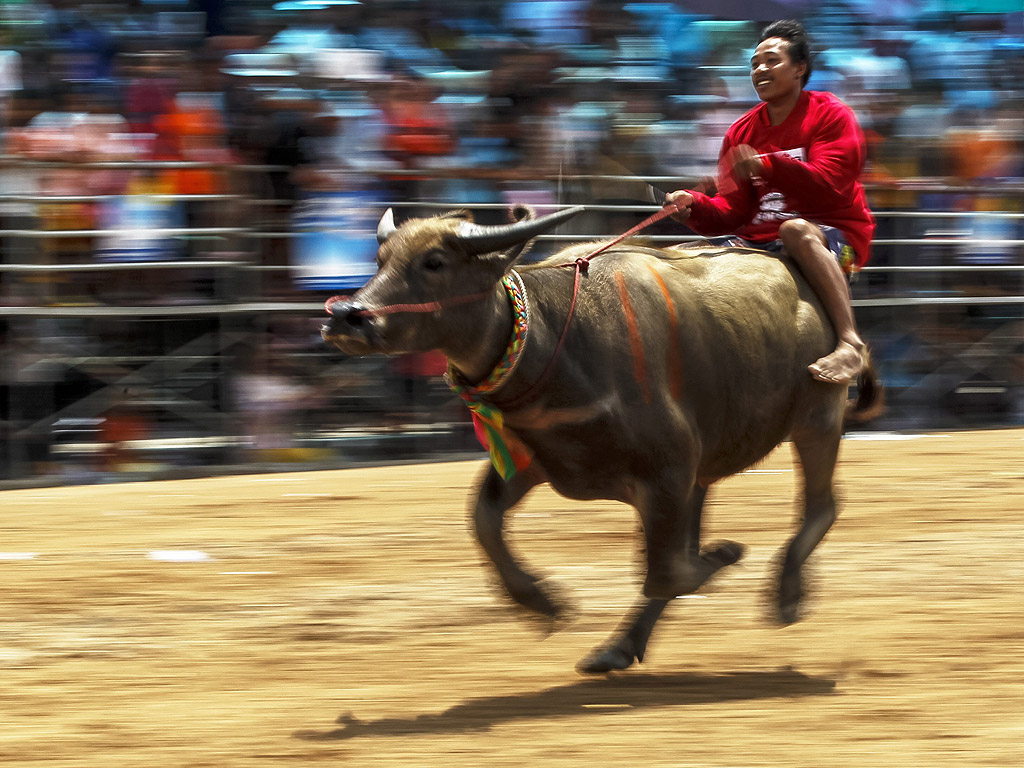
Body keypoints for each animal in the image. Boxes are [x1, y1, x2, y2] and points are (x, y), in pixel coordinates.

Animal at [323, 204, 884, 671]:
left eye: (434, 261)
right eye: (381, 258)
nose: (346, 316)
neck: (557, 340)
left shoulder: (667, 472)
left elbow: (668, 571)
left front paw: (724, 555)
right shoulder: (537, 459)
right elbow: (483, 521)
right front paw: (540, 602)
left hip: (817, 416)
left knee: (821, 505)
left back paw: (786, 592)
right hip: (714, 458)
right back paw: (620, 647)